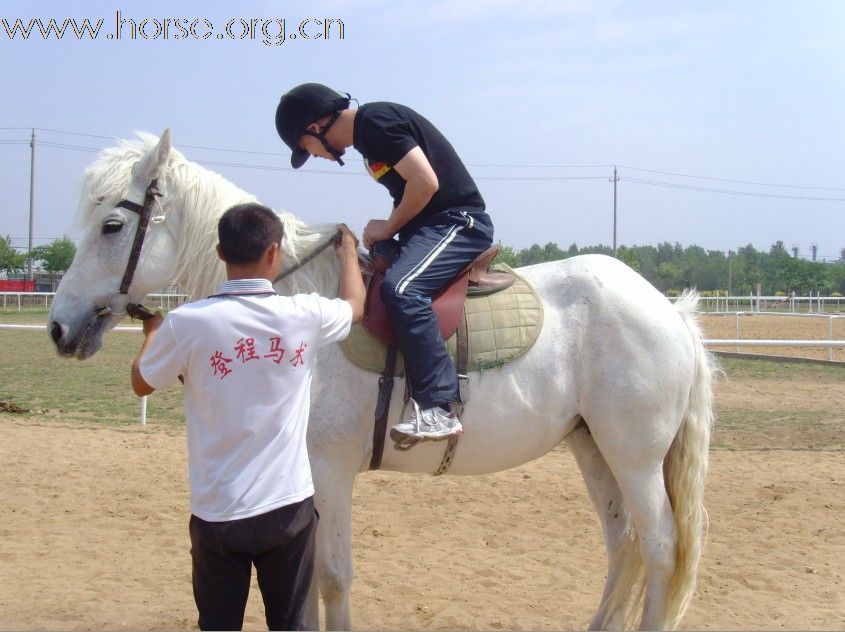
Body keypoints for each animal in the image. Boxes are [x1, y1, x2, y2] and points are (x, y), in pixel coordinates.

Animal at [49, 131, 716, 628]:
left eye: (111, 226)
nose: (58, 327)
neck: (296, 300)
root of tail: (671, 312)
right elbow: (310, 578)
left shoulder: (328, 469)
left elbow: (331, 579)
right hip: (592, 447)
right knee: (623, 544)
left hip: (634, 457)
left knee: (658, 550)